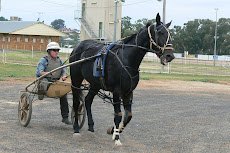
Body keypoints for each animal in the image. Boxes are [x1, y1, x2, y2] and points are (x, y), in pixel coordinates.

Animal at [70, 13, 174, 146]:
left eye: (170, 34)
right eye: (160, 32)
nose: (170, 55)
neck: (127, 59)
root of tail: (77, 46)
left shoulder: (128, 91)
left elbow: (128, 115)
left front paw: (114, 131)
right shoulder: (116, 90)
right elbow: (118, 115)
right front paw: (117, 138)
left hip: (95, 84)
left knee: (88, 101)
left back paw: (91, 127)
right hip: (76, 80)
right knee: (76, 103)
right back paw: (76, 129)